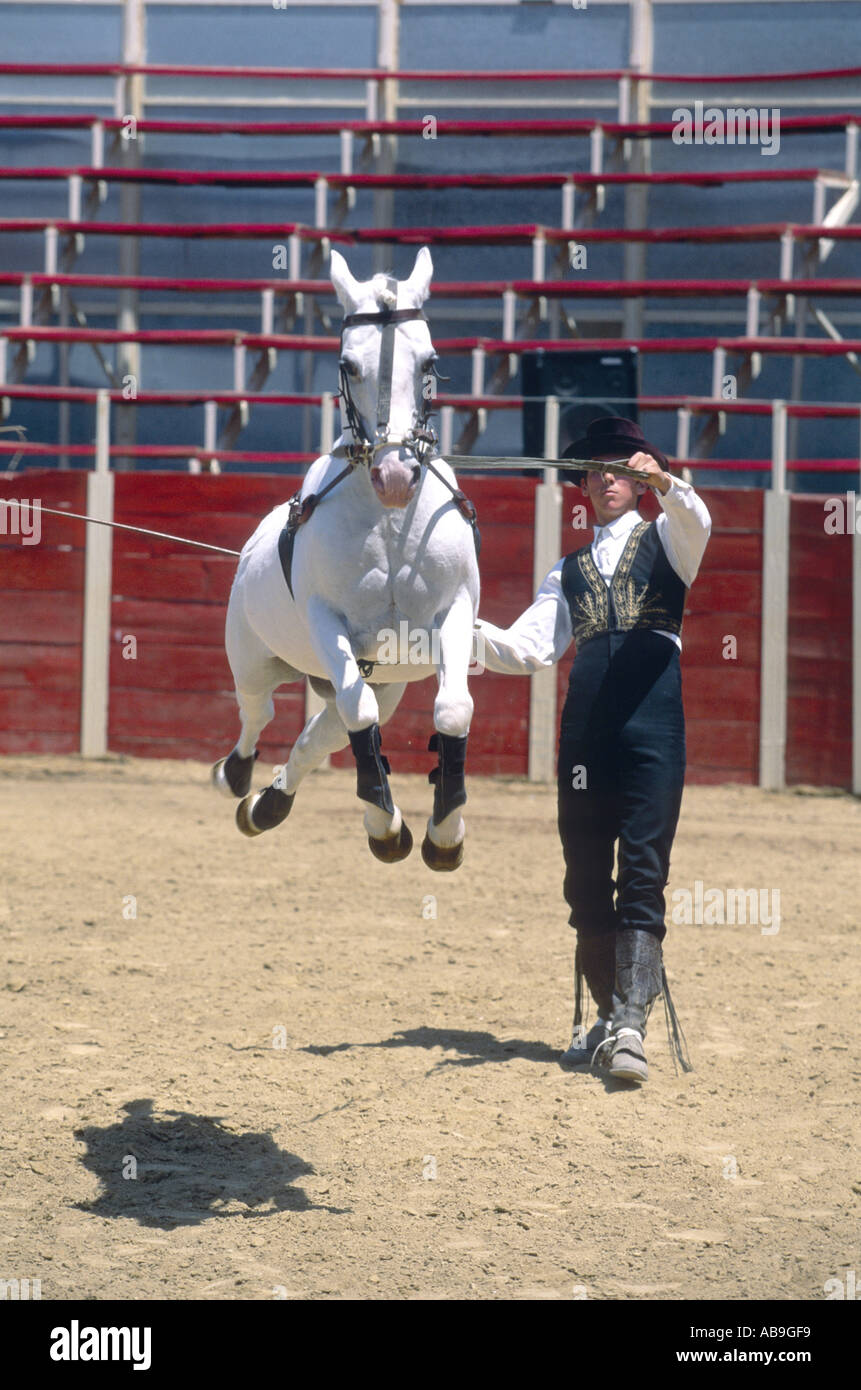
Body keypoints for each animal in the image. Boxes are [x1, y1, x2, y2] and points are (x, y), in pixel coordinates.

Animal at [208, 244, 478, 861]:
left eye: (428, 362)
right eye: (350, 365)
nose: (396, 475)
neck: (391, 522)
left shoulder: (453, 613)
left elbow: (452, 709)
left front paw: (442, 832)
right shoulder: (326, 622)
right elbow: (361, 716)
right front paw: (388, 828)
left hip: (378, 678)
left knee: (318, 736)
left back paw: (269, 805)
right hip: (254, 659)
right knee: (261, 715)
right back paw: (237, 779)